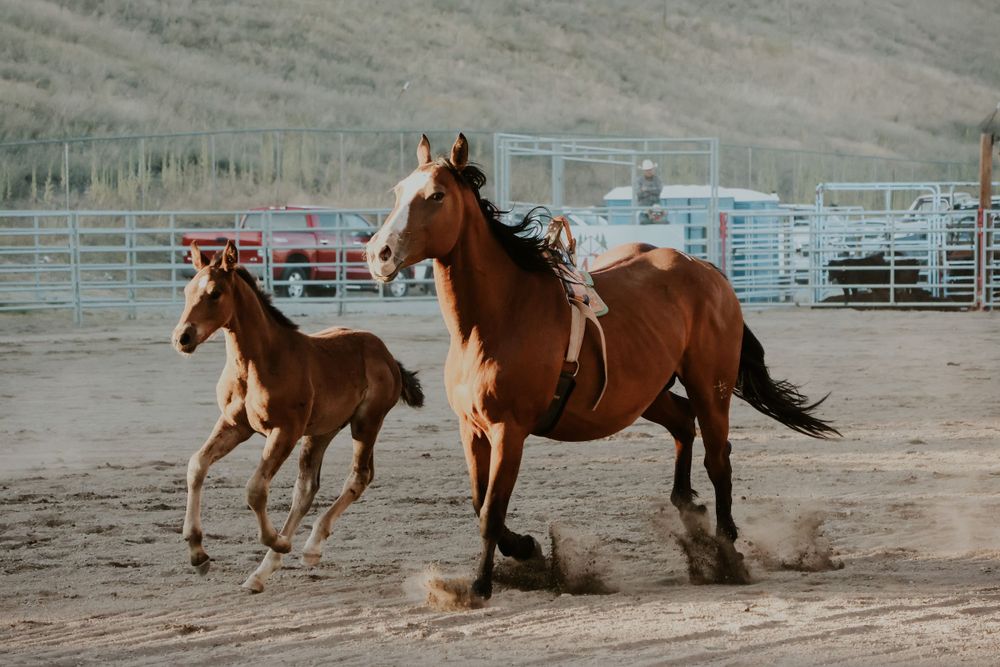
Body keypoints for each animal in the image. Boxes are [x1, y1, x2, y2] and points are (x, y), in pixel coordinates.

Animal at [172, 239, 424, 592]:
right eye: (186, 290)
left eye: (214, 293)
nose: (182, 338)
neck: (259, 362)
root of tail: (386, 355)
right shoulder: (235, 425)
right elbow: (197, 465)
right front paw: (197, 553)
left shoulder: (285, 431)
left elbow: (255, 489)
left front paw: (276, 540)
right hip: (320, 432)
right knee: (306, 489)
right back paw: (261, 573)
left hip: (365, 423)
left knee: (359, 476)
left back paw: (308, 547)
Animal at [365, 134, 839, 599]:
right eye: (397, 192)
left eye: (437, 195)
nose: (378, 253)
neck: (496, 318)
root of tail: (707, 270)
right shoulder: (472, 428)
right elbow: (480, 502)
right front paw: (528, 550)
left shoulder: (509, 431)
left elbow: (491, 511)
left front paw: (481, 586)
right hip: (645, 393)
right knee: (683, 423)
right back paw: (687, 507)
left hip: (711, 384)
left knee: (718, 457)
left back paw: (725, 552)